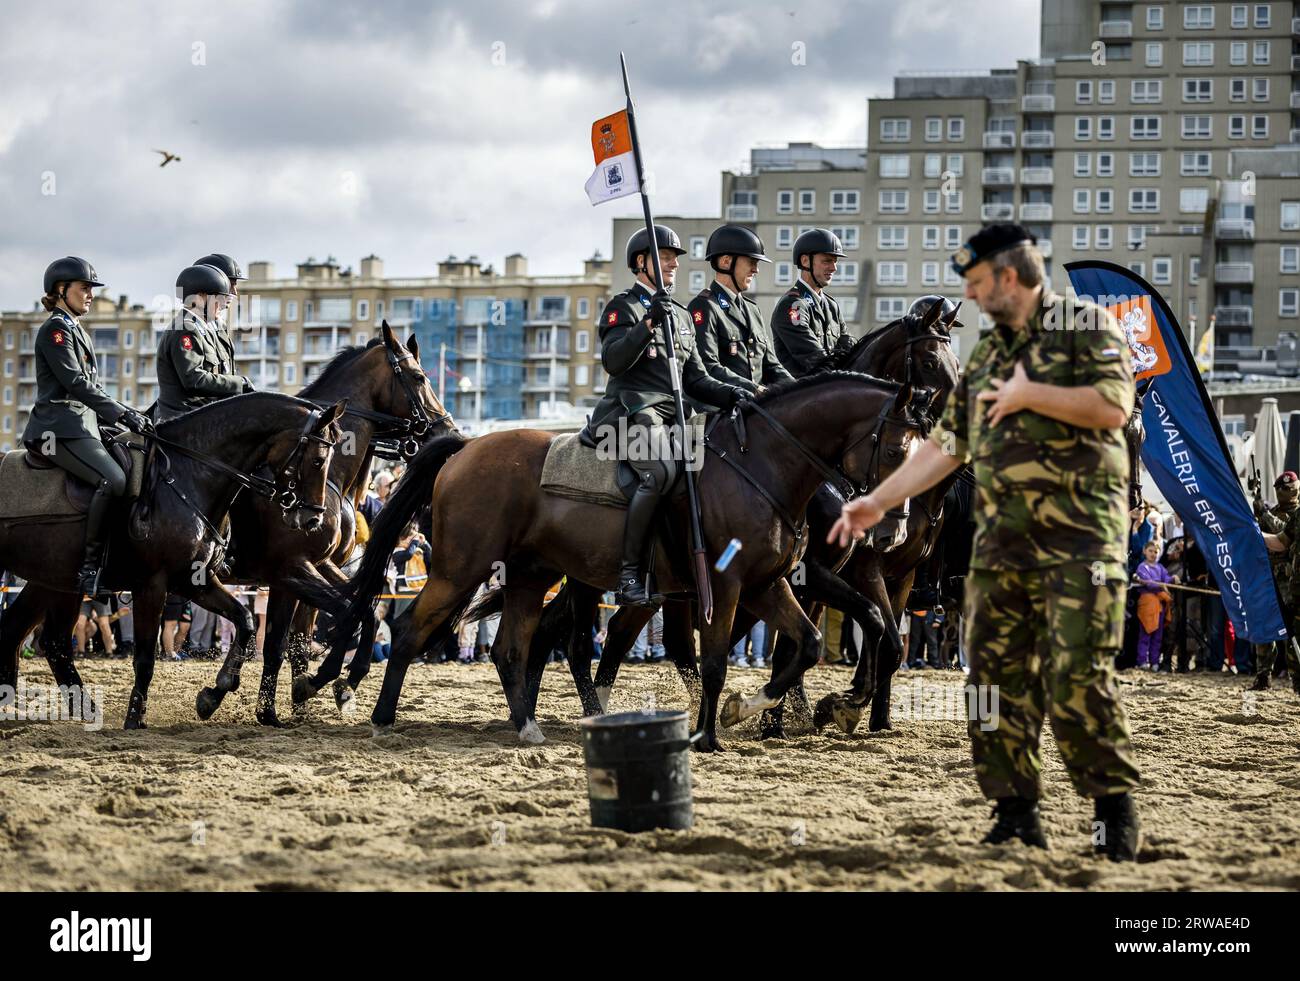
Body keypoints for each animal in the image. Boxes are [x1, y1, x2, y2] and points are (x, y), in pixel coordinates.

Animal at [0, 392, 345, 727]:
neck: (188, 476)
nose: (312, 519)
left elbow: (248, 623)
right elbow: (146, 656)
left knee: (39, 637)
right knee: (48, 640)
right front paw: (135, 719)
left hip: (53, 579)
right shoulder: (155, 584)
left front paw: (215, 695)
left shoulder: (196, 580)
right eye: (318, 460)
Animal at [192, 326, 454, 727]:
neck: (329, 477)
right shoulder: (290, 570)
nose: (448, 429)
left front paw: (317, 691)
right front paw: (301, 692)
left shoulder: (318, 565)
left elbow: (354, 615)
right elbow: (310, 630)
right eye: (419, 377)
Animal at [327, 371, 935, 748]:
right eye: (895, 450)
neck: (758, 466)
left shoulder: (769, 584)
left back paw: (529, 725)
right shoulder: (728, 586)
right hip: (462, 569)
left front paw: (751, 709)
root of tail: (469, 446)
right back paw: (381, 719)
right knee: (412, 629)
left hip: (532, 576)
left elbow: (806, 644)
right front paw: (709, 733)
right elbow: (715, 661)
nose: (893, 530)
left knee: (515, 648)